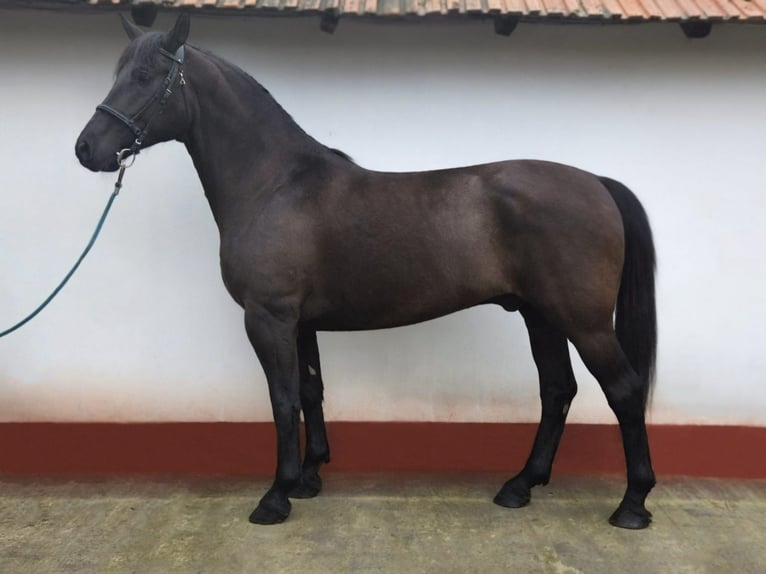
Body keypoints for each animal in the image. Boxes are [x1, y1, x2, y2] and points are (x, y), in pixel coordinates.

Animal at [75, 14, 657, 529]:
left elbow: (282, 400)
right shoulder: (300, 323)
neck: (274, 183)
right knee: (557, 390)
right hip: (541, 316)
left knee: (623, 391)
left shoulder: (268, 318)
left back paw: (632, 504)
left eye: (144, 76)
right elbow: (311, 391)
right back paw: (521, 485)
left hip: (583, 321)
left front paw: (276, 496)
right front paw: (309, 477)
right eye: (118, 73)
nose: (86, 149)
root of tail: (596, 183)